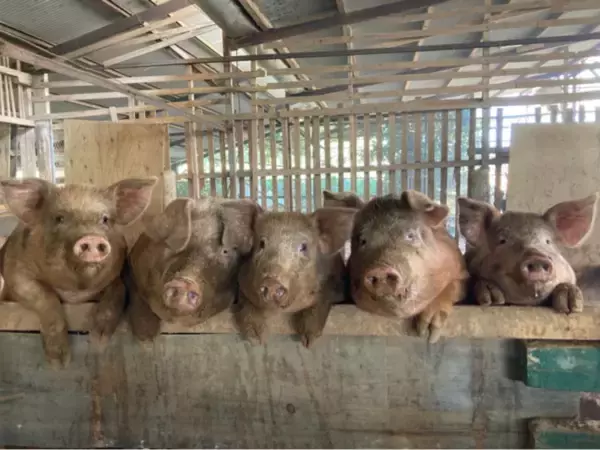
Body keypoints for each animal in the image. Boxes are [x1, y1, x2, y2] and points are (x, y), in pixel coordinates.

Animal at [0, 176, 157, 368]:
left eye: (105, 219)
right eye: (59, 218)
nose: (92, 237)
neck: (76, 290)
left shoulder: (116, 274)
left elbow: (119, 290)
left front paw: (98, 341)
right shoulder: (16, 272)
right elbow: (46, 297)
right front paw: (58, 364)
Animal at [127, 196, 261, 341]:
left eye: (225, 251)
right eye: (186, 244)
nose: (184, 282)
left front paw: (254, 337)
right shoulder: (134, 264)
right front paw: (147, 338)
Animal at [235, 206, 357, 347]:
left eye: (303, 247)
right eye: (261, 244)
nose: (271, 282)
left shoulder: (335, 285)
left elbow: (322, 299)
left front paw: (308, 341)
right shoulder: (242, 280)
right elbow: (245, 303)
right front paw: (256, 339)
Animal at [348, 190, 468, 343]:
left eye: (410, 236)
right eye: (363, 241)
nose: (380, 270)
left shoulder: (462, 271)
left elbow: (453, 287)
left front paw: (428, 334)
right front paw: (425, 333)